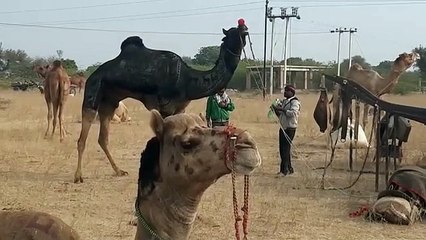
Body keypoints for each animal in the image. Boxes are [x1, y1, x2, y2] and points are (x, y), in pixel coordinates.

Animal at [74, 20, 250, 184]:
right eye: (232, 33)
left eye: (242, 30)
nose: (244, 28)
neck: (188, 80)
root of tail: (92, 76)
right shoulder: (166, 107)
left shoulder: (180, 108)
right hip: (93, 92)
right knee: (82, 137)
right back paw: (78, 176)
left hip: (109, 102)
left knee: (103, 137)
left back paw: (119, 171)